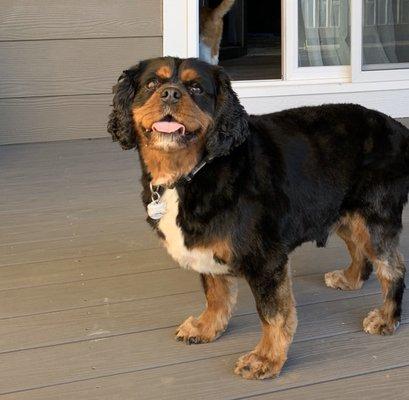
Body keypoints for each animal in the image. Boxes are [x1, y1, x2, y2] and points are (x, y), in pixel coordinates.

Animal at [108, 56, 408, 378]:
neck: (192, 173)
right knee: (359, 249)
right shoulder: (206, 242)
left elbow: (273, 314)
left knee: (393, 269)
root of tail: (397, 127)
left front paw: (266, 359)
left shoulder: (266, 258)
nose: (171, 94)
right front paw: (205, 327)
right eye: (152, 83)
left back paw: (387, 318)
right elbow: (215, 293)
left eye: (196, 88)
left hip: (374, 217)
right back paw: (350, 278)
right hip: (345, 212)